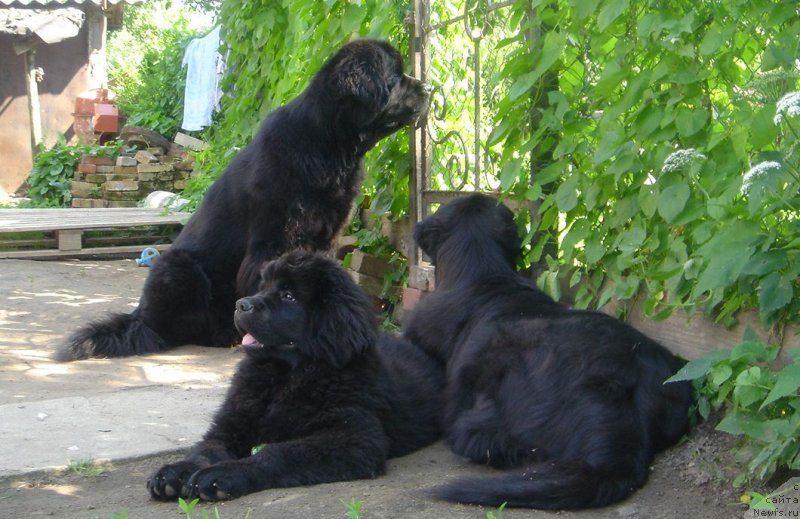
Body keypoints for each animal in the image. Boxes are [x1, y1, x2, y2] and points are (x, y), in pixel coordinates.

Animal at [56, 39, 432, 362]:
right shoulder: (275, 235)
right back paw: (223, 334)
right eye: (395, 77)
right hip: (177, 266)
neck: (329, 147)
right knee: (171, 329)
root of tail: (140, 316)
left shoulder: (327, 234)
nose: (429, 88)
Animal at [145, 252, 444, 504]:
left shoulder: (354, 438)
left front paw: (223, 475)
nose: (240, 304)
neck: (283, 377)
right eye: (263, 287)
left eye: (288, 296)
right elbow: (206, 448)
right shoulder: (230, 425)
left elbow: (277, 452)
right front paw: (175, 472)